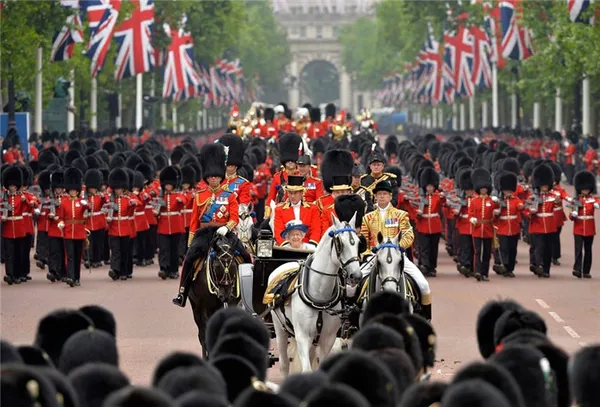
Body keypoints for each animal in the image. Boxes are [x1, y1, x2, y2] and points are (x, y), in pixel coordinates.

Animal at [188, 226, 253, 356]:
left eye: (233, 266)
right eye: (217, 266)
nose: (225, 295)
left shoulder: (231, 303)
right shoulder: (204, 307)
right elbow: (207, 332)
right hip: (196, 307)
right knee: (201, 333)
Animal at [270, 215, 364, 378]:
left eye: (358, 243)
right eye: (339, 242)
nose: (356, 276)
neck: (320, 296)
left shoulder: (328, 339)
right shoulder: (302, 336)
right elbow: (306, 369)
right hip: (279, 328)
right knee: (284, 363)